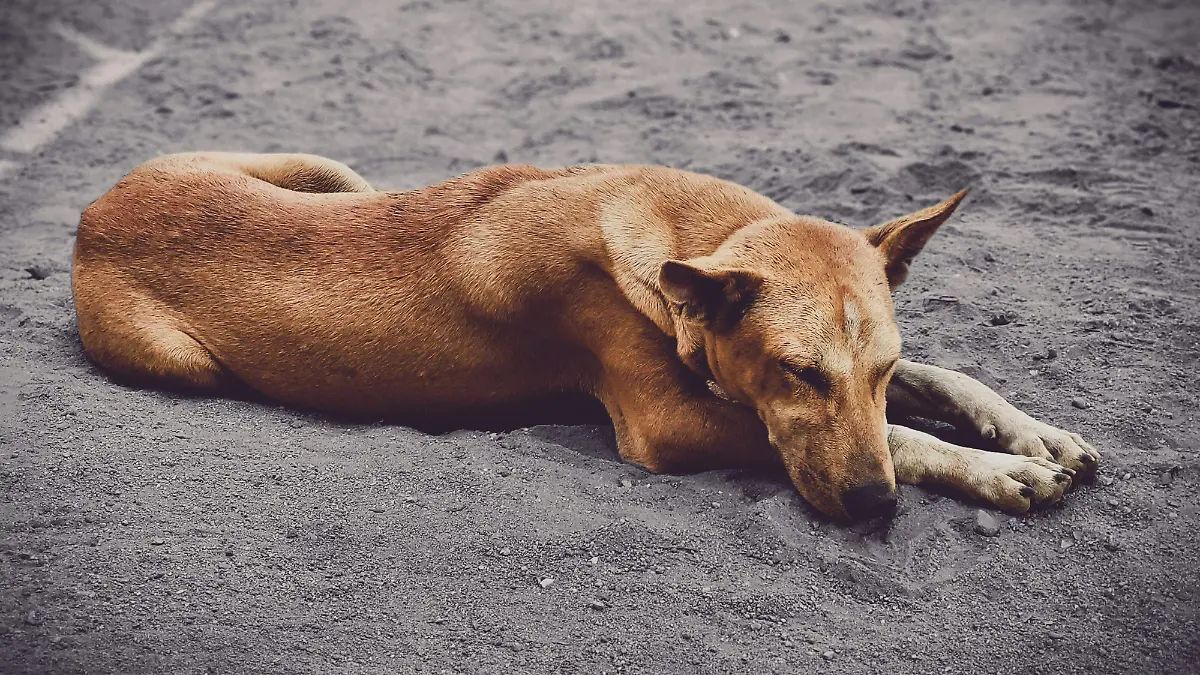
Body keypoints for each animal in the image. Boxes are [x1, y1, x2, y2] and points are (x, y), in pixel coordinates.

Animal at [72, 152, 1099, 521]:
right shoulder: (671, 423)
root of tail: (96, 204)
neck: (685, 237)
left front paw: (1033, 434)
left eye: (876, 367)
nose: (875, 506)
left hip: (334, 173)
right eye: (795, 373)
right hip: (187, 364)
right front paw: (996, 470)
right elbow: (904, 436)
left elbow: (941, 382)